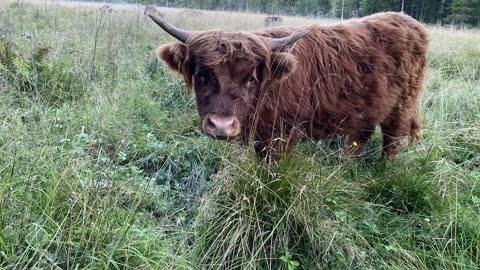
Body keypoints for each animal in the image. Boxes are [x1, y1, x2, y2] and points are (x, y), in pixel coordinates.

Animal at [144, 6, 430, 159]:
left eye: (251, 78)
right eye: (202, 75)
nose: (222, 126)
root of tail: (409, 21)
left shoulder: (282, 135)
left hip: (403, 104)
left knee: (393, 138)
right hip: (368, 107)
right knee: (360, 136)